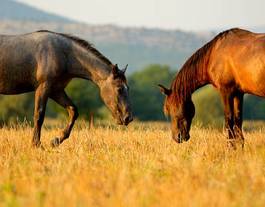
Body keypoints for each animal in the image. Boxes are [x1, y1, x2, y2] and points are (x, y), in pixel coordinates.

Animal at [0, 30, 132, 147]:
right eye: (119, 89)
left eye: (128, 88)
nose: (128, 118)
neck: (63, 55)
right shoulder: (43, 87)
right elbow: (39, 115)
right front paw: (36, 144)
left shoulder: (56, 90)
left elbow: (73, 111)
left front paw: (56, 141)